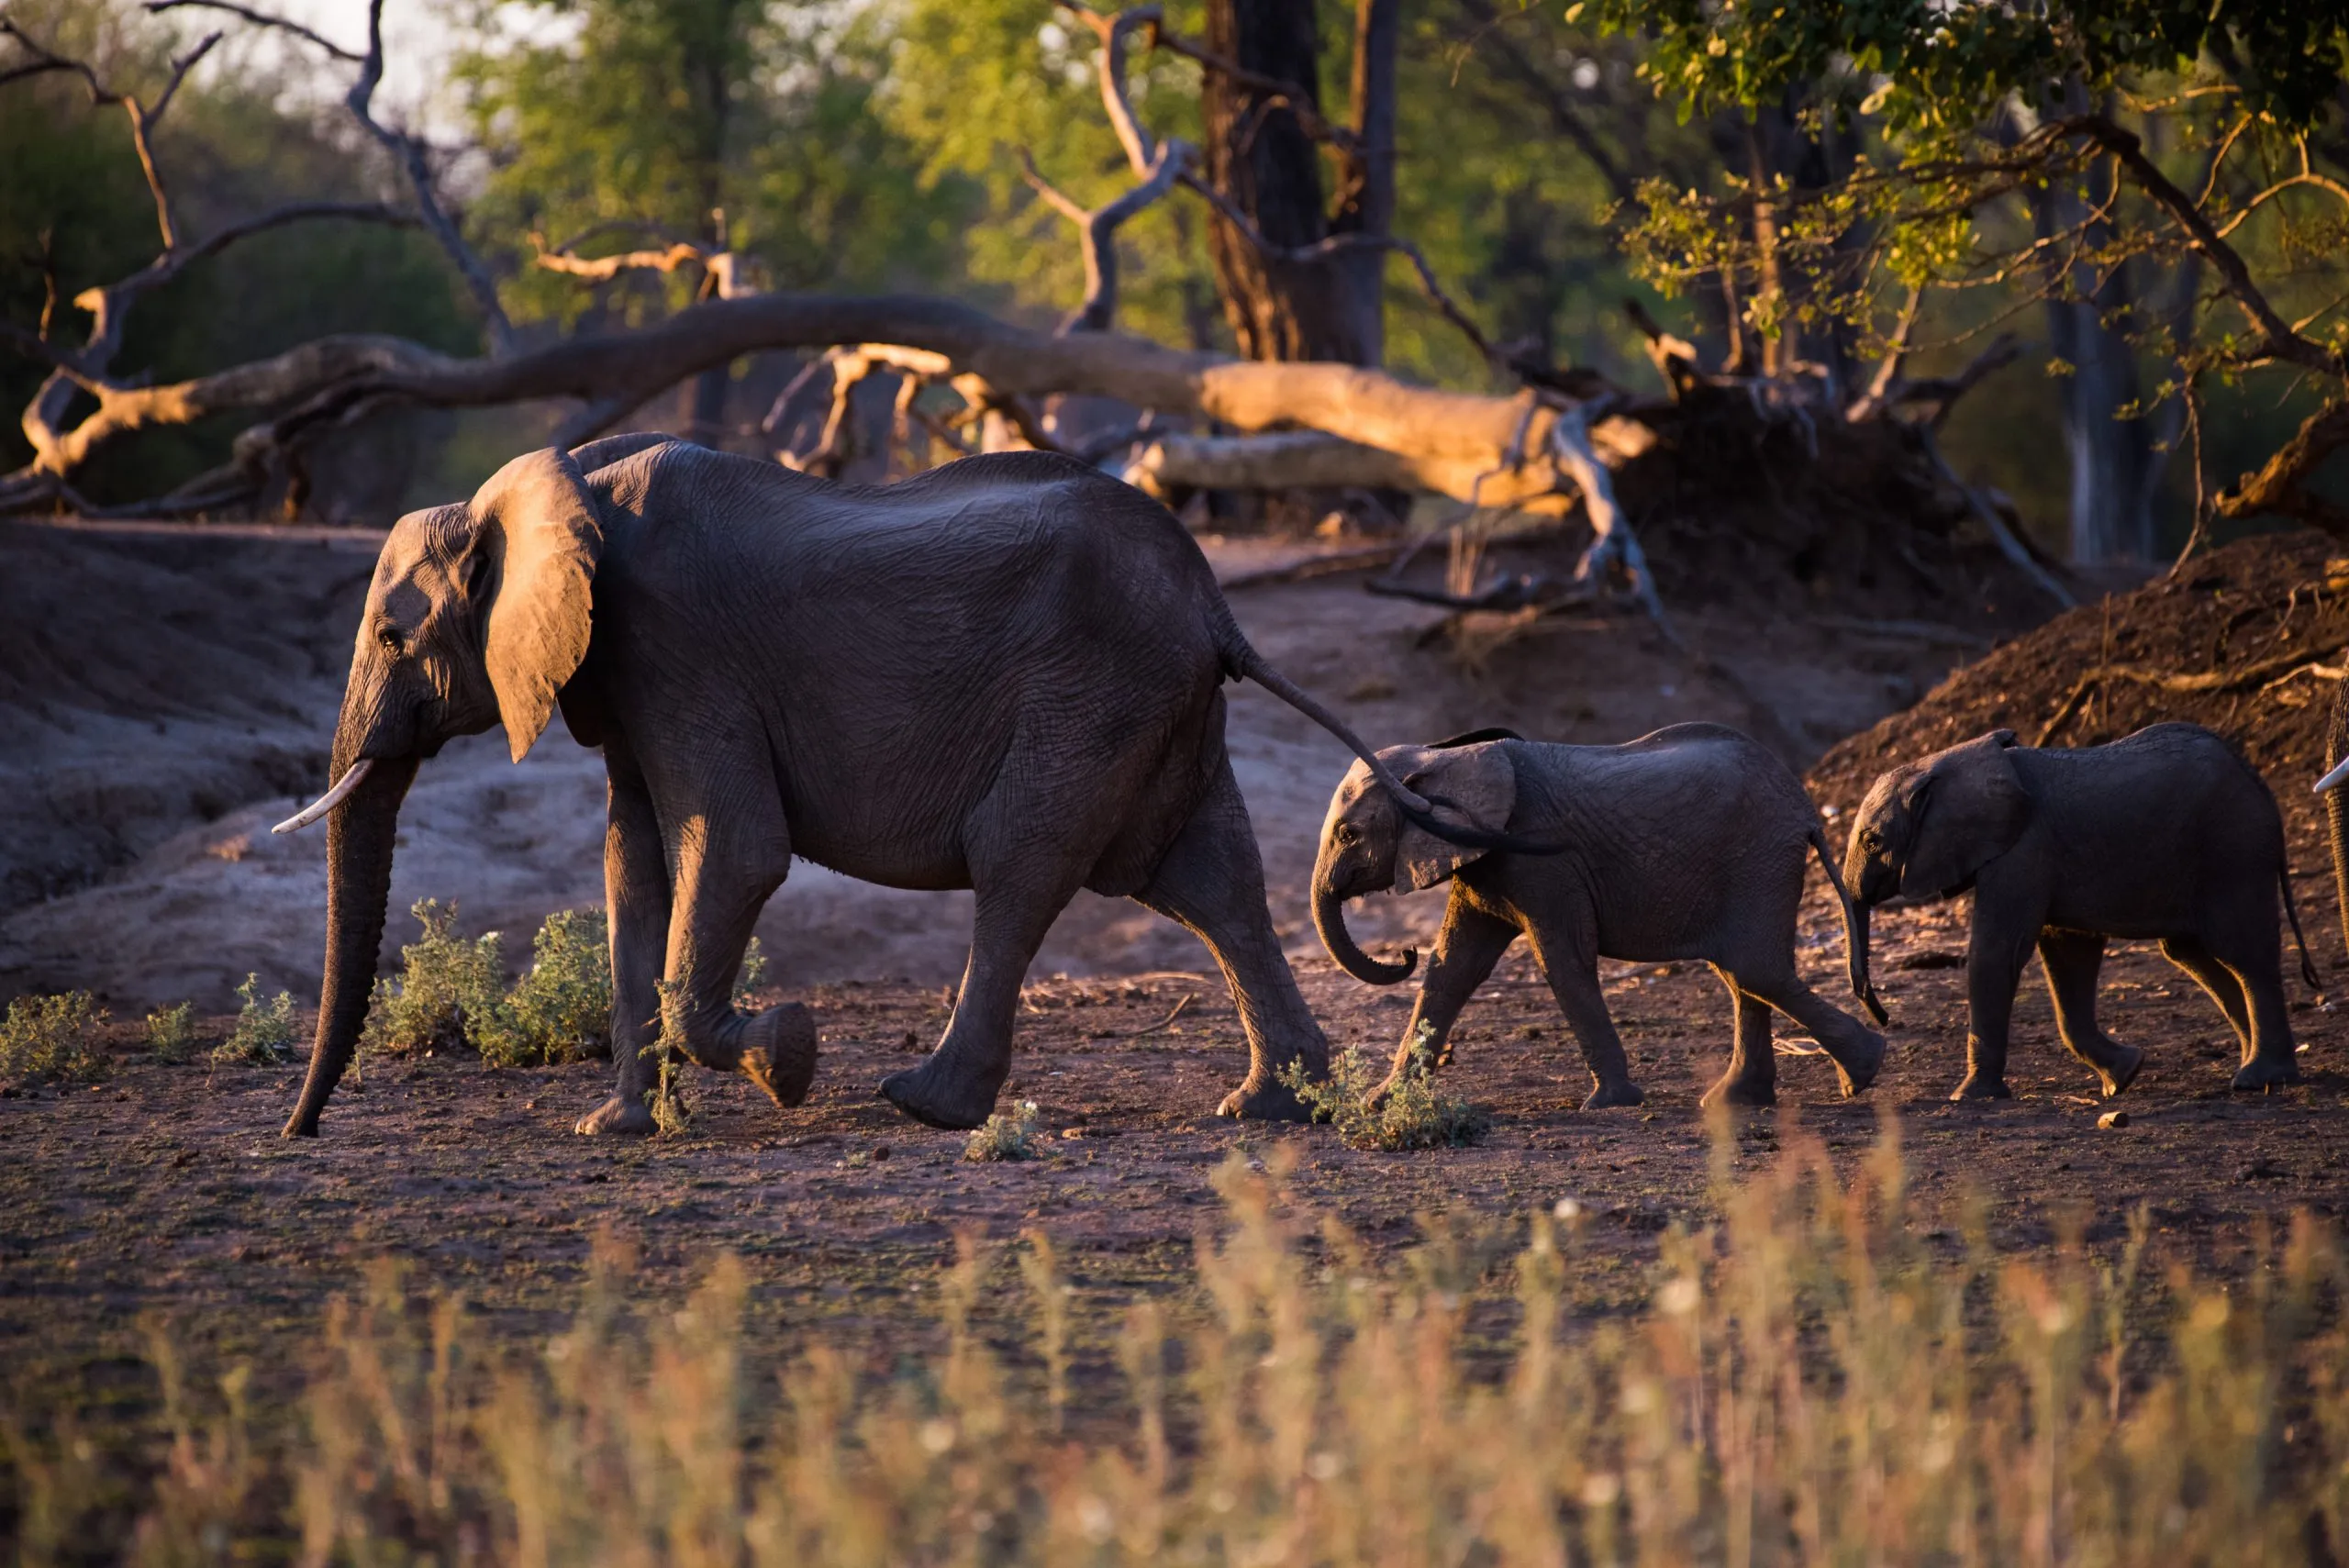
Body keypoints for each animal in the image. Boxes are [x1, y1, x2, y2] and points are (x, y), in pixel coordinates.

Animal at [272, 435, 1471, 1139]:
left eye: (392, 634)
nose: (300, 1131)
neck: (560, 484)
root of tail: (1218, 604)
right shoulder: (622, 674)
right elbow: (632, 863)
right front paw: (618, 1130)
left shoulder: (680, 652)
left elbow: (736, 846)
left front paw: (789, 1060)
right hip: (1156, 703)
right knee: (1208, 878)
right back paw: (1273, 1104)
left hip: (1092, 692)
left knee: (1023, 860)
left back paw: (926, 1104)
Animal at [1311, 724, 1887, 1110]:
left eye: (1348, 834)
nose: (1401, 951)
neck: (1446, 757)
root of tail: (1808, 810)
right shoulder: (1483, 860)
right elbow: (1452, 969)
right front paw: (1379, 1103)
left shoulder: (1539, 859)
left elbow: (1562, 961)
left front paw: (1609, 1103)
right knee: (1744, 975)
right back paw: (1740, 1100)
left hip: (1759, 858)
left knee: (1753, 969)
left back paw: (1863, 1072)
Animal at [1843, 724, 2318, 1100]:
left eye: (1871, 841)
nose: (1883, 1016)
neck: (1943, 765)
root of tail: (2256, 778)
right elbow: (2069, 954)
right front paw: (2123, 1077)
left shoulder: (2024, 849)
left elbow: (1995, 954)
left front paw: (1969, 1098)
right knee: (2193, 955)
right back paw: (2249, 1065)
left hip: (2234, 850)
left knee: (2243, 953)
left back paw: (2262, 1079)